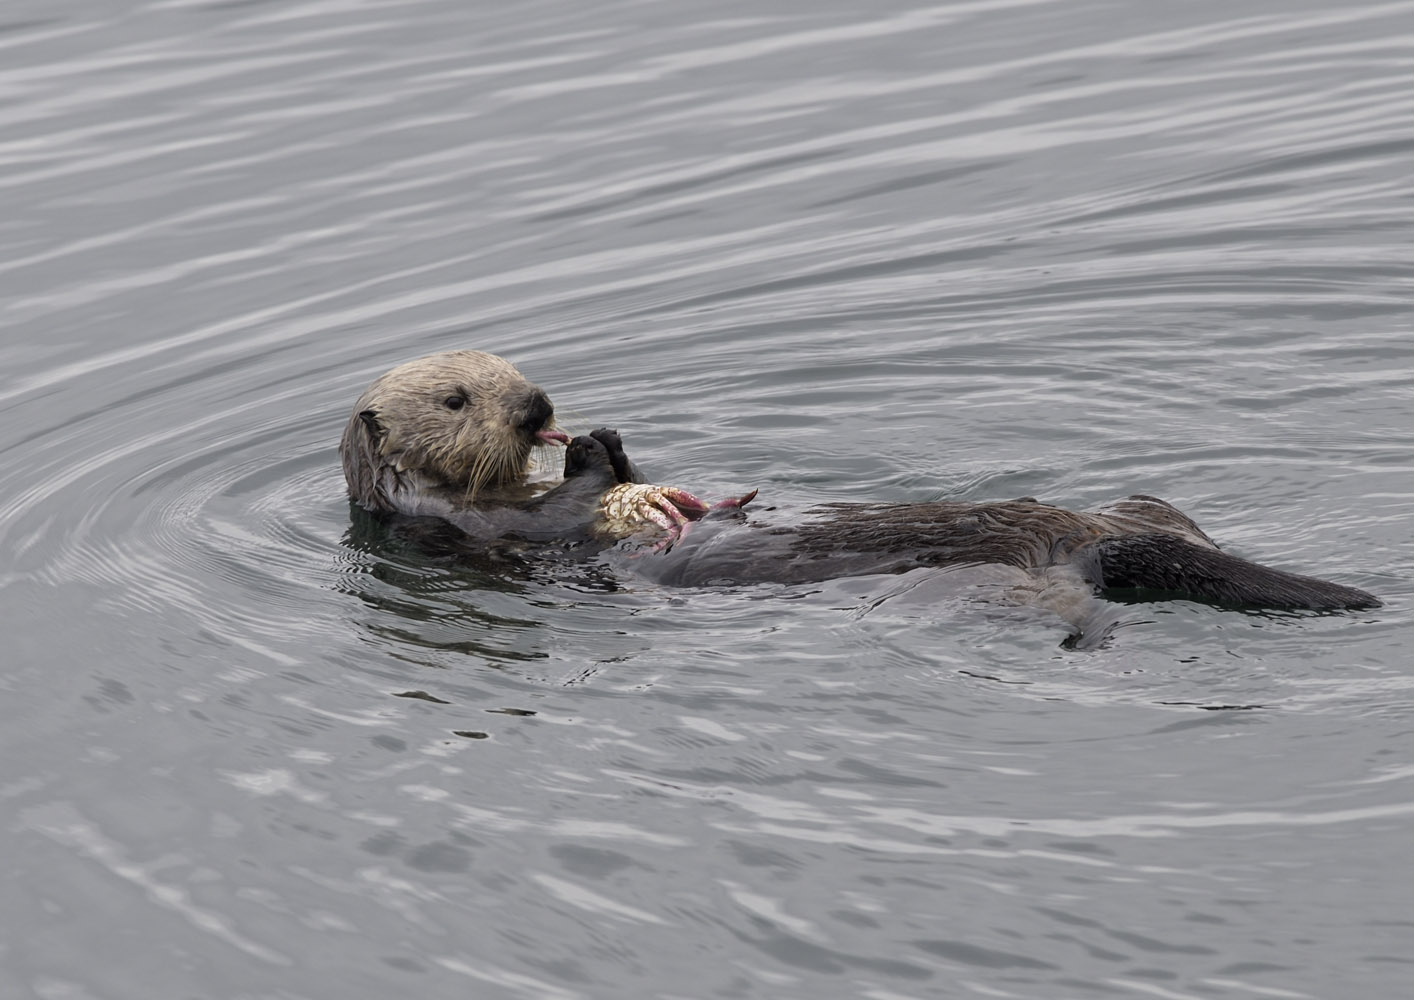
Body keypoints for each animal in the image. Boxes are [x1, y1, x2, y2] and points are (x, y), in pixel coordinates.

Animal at [340, 351, 1380, 642]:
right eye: (458, 396)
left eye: (515, 371)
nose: (541, 408)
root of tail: (1084, 530)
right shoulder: (463, 523)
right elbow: (561, 514)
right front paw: (594, 457)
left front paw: (614, 445)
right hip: (1000, 577)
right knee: (1070, 596)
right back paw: (1091, 635)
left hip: (1128, 508)